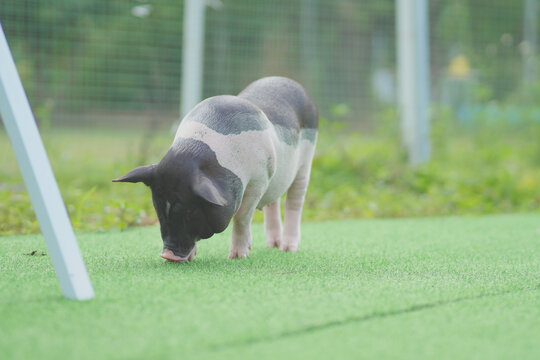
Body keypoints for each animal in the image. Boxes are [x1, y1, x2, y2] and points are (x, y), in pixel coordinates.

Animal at [113, 76, 316, 262]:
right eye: (159, 208)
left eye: (190, 210)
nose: (167, 255)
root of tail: (290, 81)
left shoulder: (259, 179)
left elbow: (242, 217)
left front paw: (237, 257)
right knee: (273, 202)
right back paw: (272, 245)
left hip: (306, 161)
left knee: (294, 202)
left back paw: (288, 249)